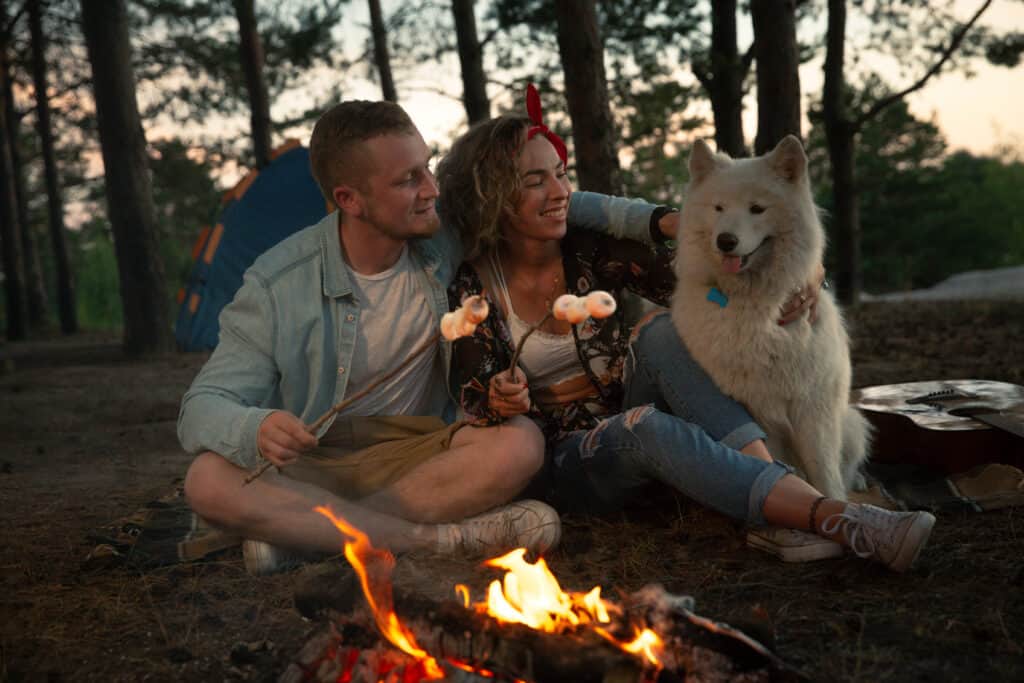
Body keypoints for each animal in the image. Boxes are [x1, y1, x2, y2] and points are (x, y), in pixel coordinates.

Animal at [675, 136, 868, 499]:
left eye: (757, 208)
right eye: (719, 208)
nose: (726, 241)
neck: (750, 302)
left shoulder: (814, 407)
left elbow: (825, 471)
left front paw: (835, 501)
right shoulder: (755, 408)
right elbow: (778, 463)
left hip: (849, 422)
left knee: (847, 463)